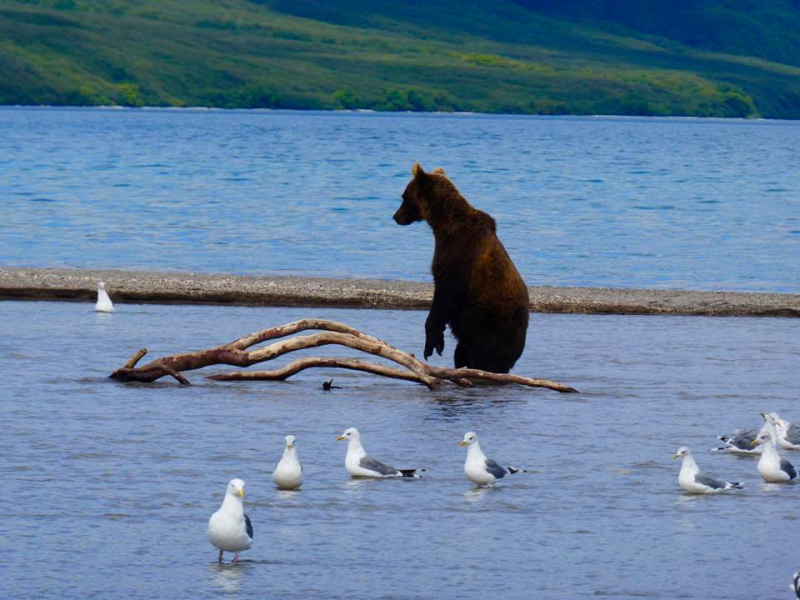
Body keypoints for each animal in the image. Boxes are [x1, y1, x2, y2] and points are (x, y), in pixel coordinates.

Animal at [396, 162, 532, 372]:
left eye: (403, 196)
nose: (395, 216)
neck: (444, 225)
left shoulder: (459, 255)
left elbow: (444, 294)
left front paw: (431, 344)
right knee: (462, 354)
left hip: (490, 327)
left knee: (484, 359)